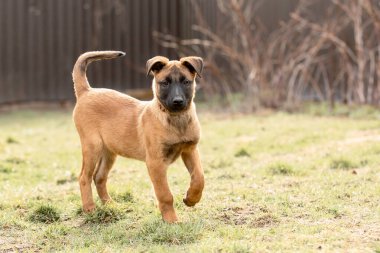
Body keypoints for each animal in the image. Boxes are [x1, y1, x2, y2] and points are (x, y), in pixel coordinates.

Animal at [71, 51, 205, 221]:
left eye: (186, 82)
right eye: (164, 83)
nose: (177, 101)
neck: (176, 119)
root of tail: (86, 91)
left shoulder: (190, 150)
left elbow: (199, 177)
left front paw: (191, 199)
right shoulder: (155, 162)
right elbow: (165, 194)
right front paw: (171, 219)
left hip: (109, 151)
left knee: (99, 177)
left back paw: (110, 205)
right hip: (92, 146)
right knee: (84, 177)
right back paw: (90, 208)